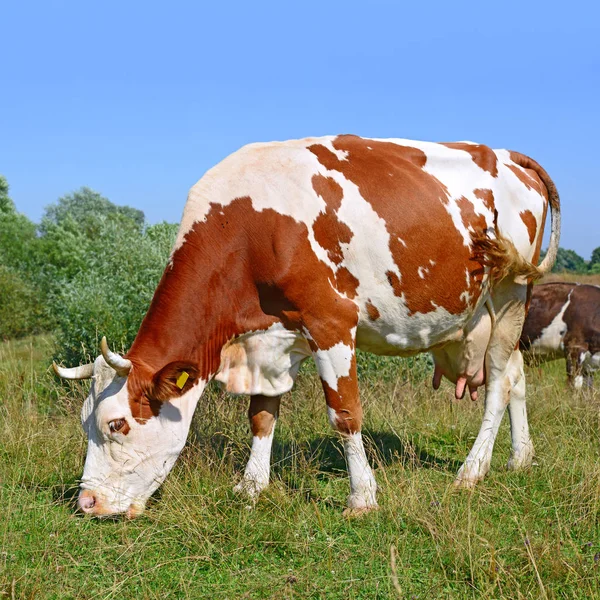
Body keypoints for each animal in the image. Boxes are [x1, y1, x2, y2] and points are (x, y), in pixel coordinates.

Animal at [54, 135, 560, 516]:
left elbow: (345, 414)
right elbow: (261, 414)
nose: (87, 502)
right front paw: (251, 487)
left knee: (498, 380)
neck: (247, 230)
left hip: (510, 291)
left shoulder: (331, 321)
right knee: (516, 374)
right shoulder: (269, 338)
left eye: (117, 424)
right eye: (84, 424)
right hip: (487, 312)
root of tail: (506, 153)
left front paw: (362, 498)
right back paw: (519, 456)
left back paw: (471, 471)